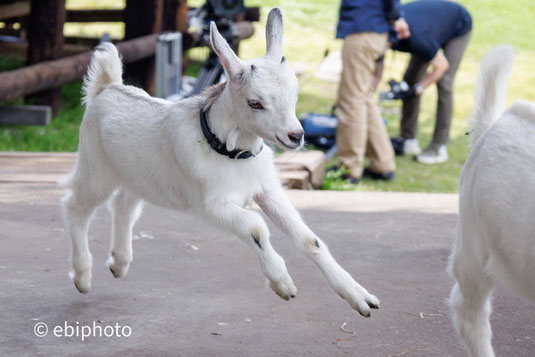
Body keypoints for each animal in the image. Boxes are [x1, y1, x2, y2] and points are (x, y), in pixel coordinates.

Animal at [61, 7, 382, 314]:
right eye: (255, 103)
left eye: (295, 95)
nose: (296, 136)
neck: (229, 152)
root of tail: (106, 87)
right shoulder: (211, 205)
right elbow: (255, 226)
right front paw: (282, 283)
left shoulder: (267, 190)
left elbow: (308, 239)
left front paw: (361, 298)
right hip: (96, 170)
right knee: (75, 205)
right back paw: (83, 276)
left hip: (139, 176)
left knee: (124, 205)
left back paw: (119, 263)